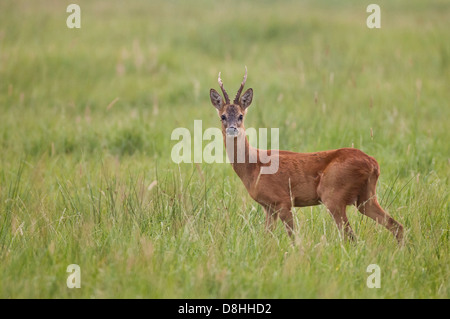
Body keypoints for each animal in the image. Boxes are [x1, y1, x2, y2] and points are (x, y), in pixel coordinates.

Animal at [210, 66, 404, 244]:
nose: (232, 129)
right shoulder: (269, 207)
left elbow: (294, 238)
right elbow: (267, 237)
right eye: (223, 116)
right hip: (366, 197)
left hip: (333, 194)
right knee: (396, 226)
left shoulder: (283, 200)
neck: (254, 166)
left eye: (241, 116)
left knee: (350, 236)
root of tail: (373, 164)